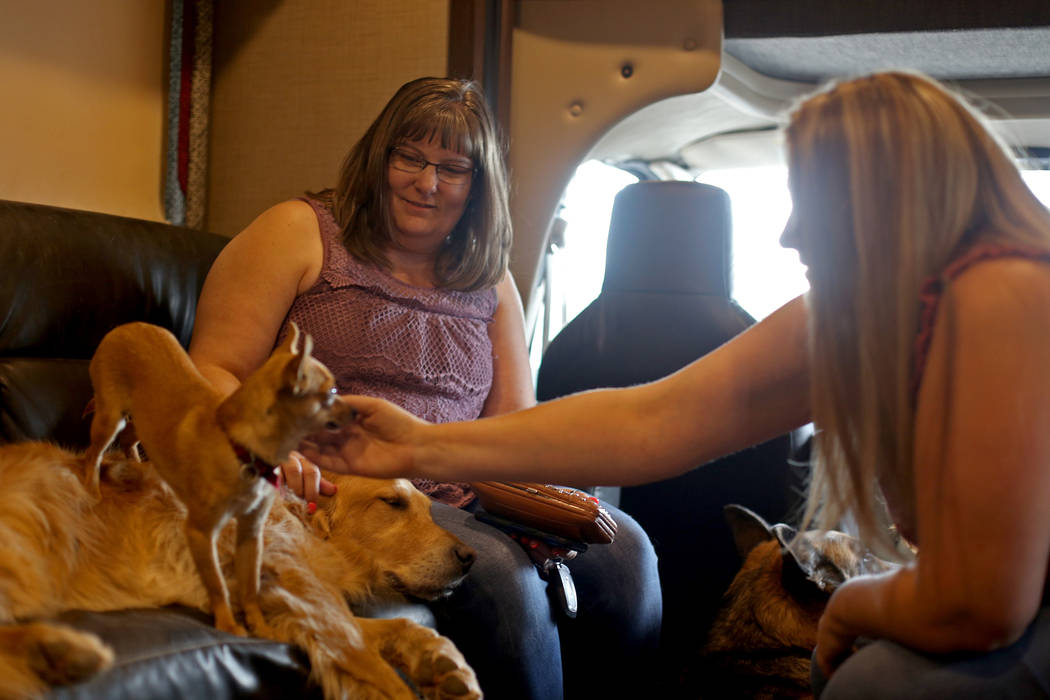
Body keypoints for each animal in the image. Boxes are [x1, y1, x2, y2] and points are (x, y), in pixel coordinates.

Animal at [81, 321, 352, 638]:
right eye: (332, 392)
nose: (356, 411)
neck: (243, 453)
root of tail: (126, 327)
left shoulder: (251, 533)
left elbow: (250, 584)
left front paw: (259, 624)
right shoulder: (201, 533)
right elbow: (217, 582)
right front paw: (227, 623)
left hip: (142, 421)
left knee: (127, 442)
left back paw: (138, 468)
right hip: (110, 418)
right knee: (92, 455)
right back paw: (92, 488)